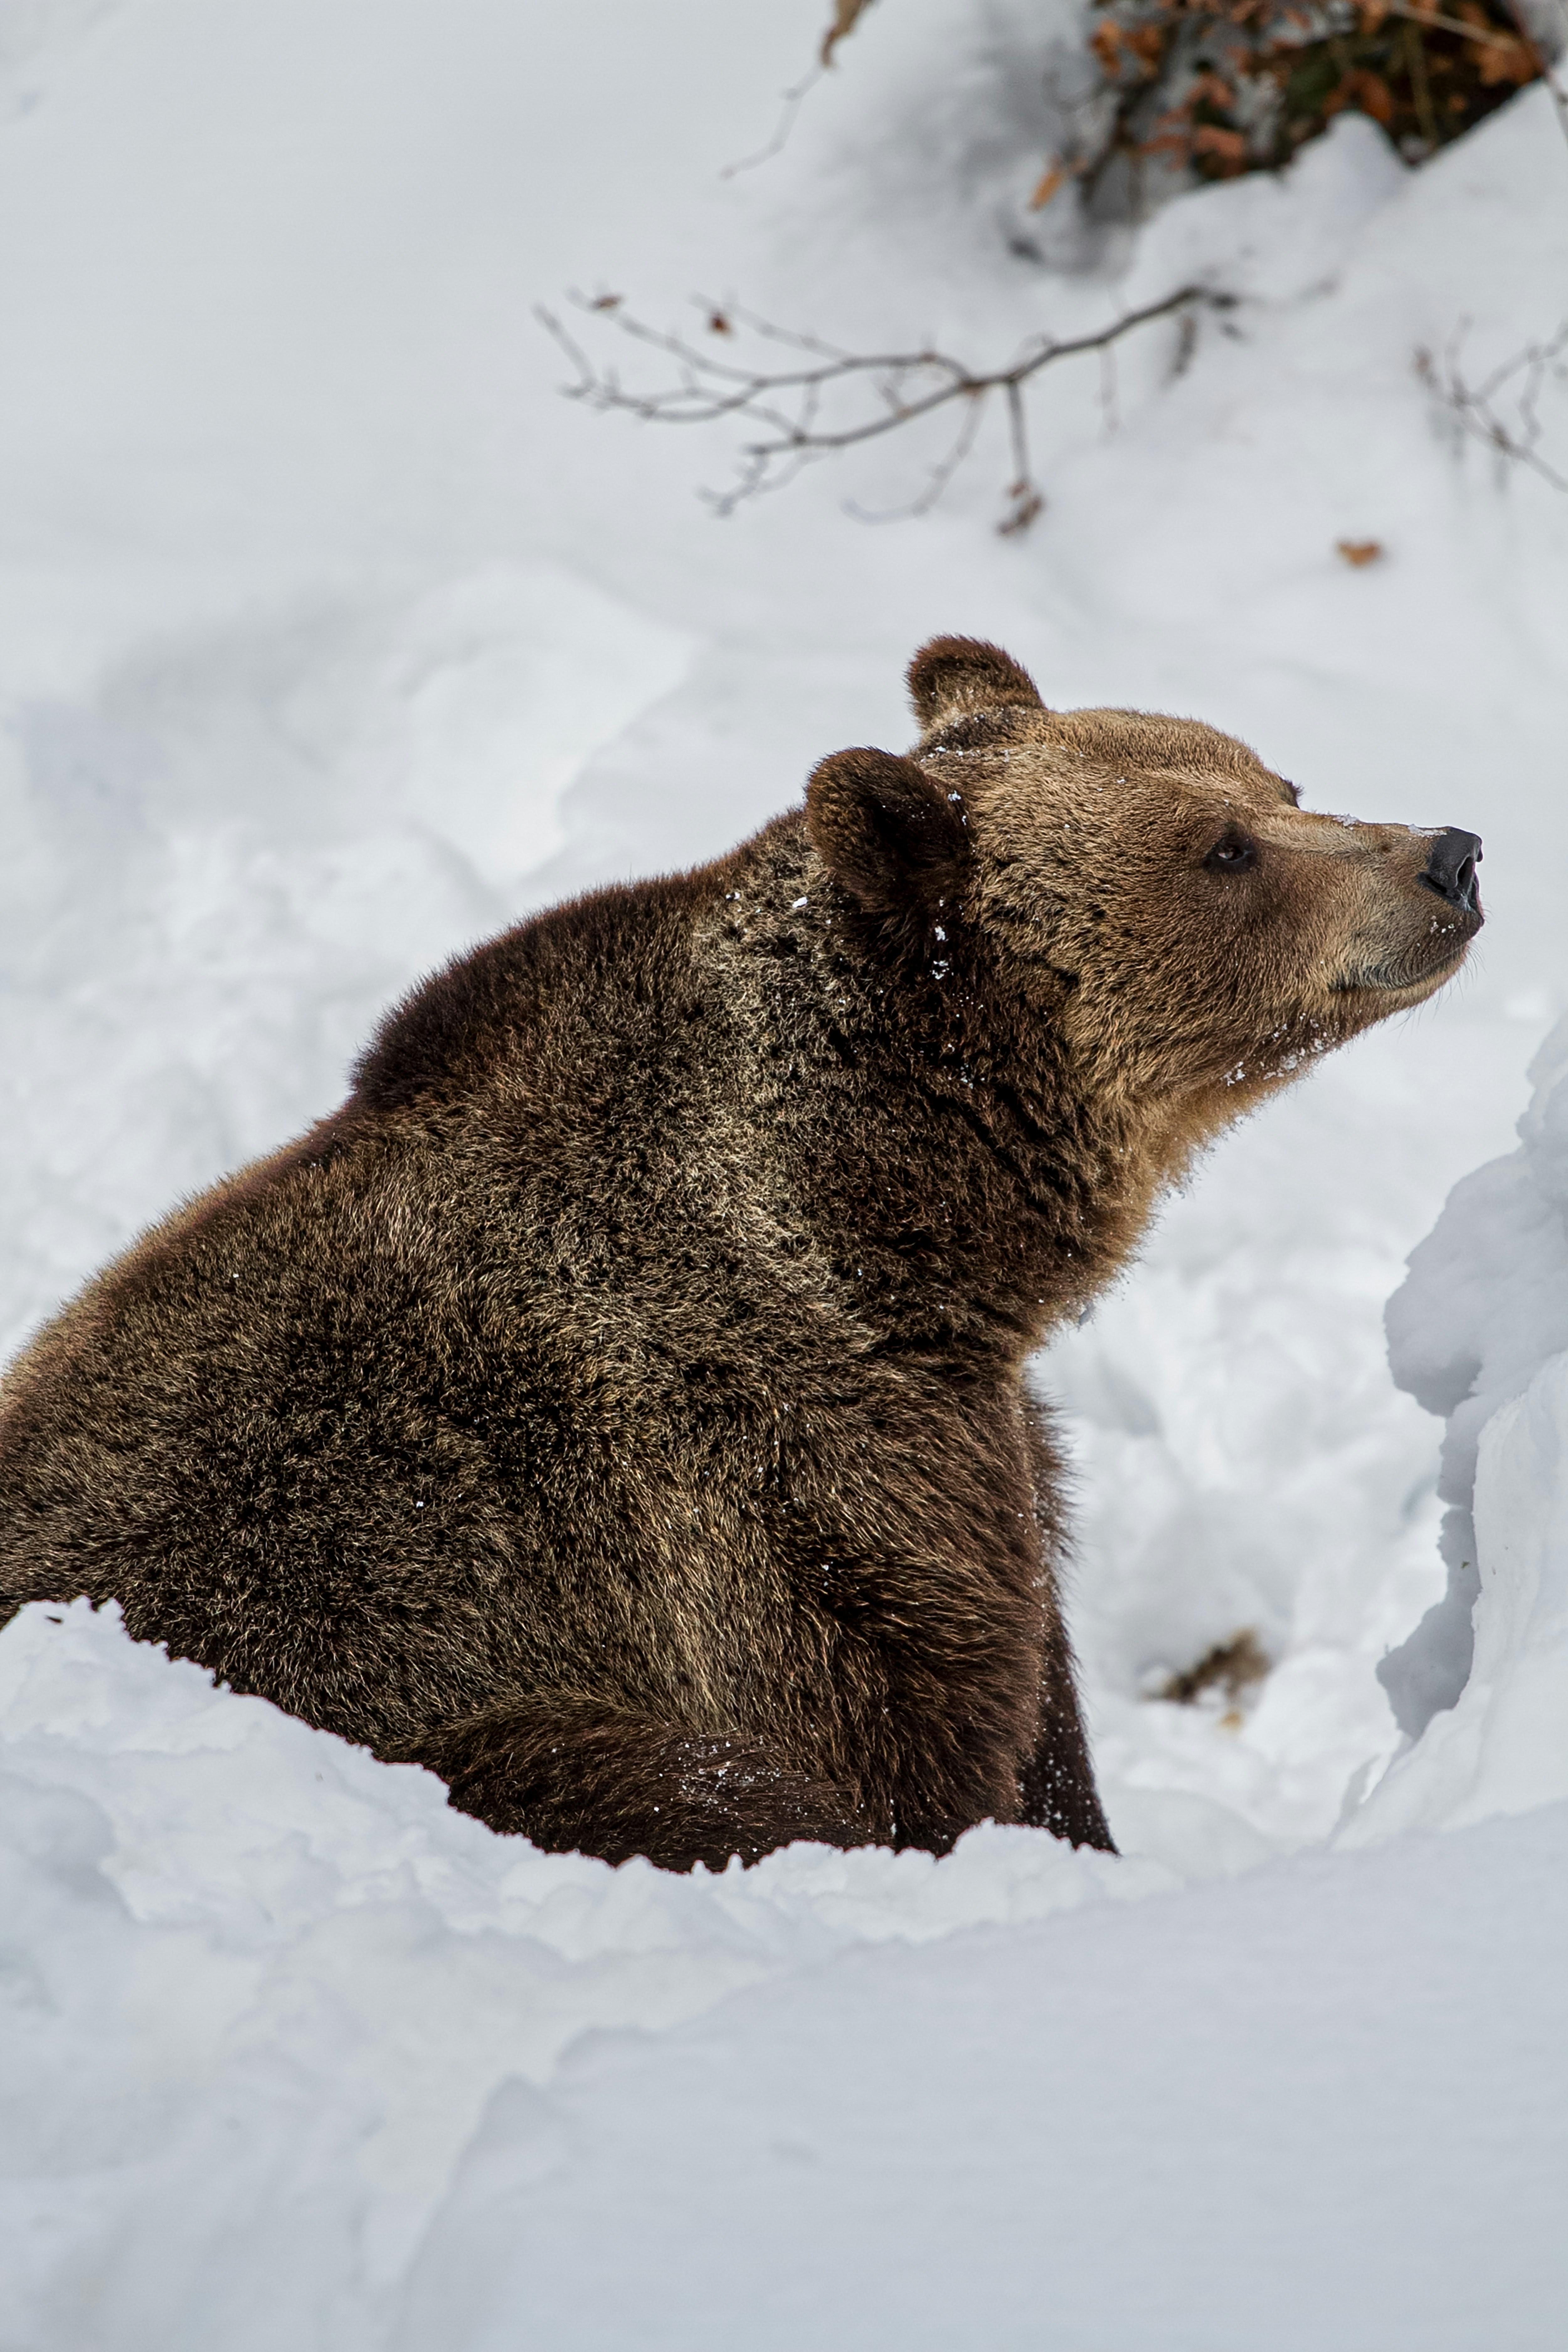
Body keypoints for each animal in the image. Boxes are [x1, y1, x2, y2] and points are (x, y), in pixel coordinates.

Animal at [0, 637, 1483, 1870]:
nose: (1447, 851)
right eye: (1222, 849)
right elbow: (907, 1726)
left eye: (1279, 780)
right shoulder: (757, 1483)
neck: (889, 1222)